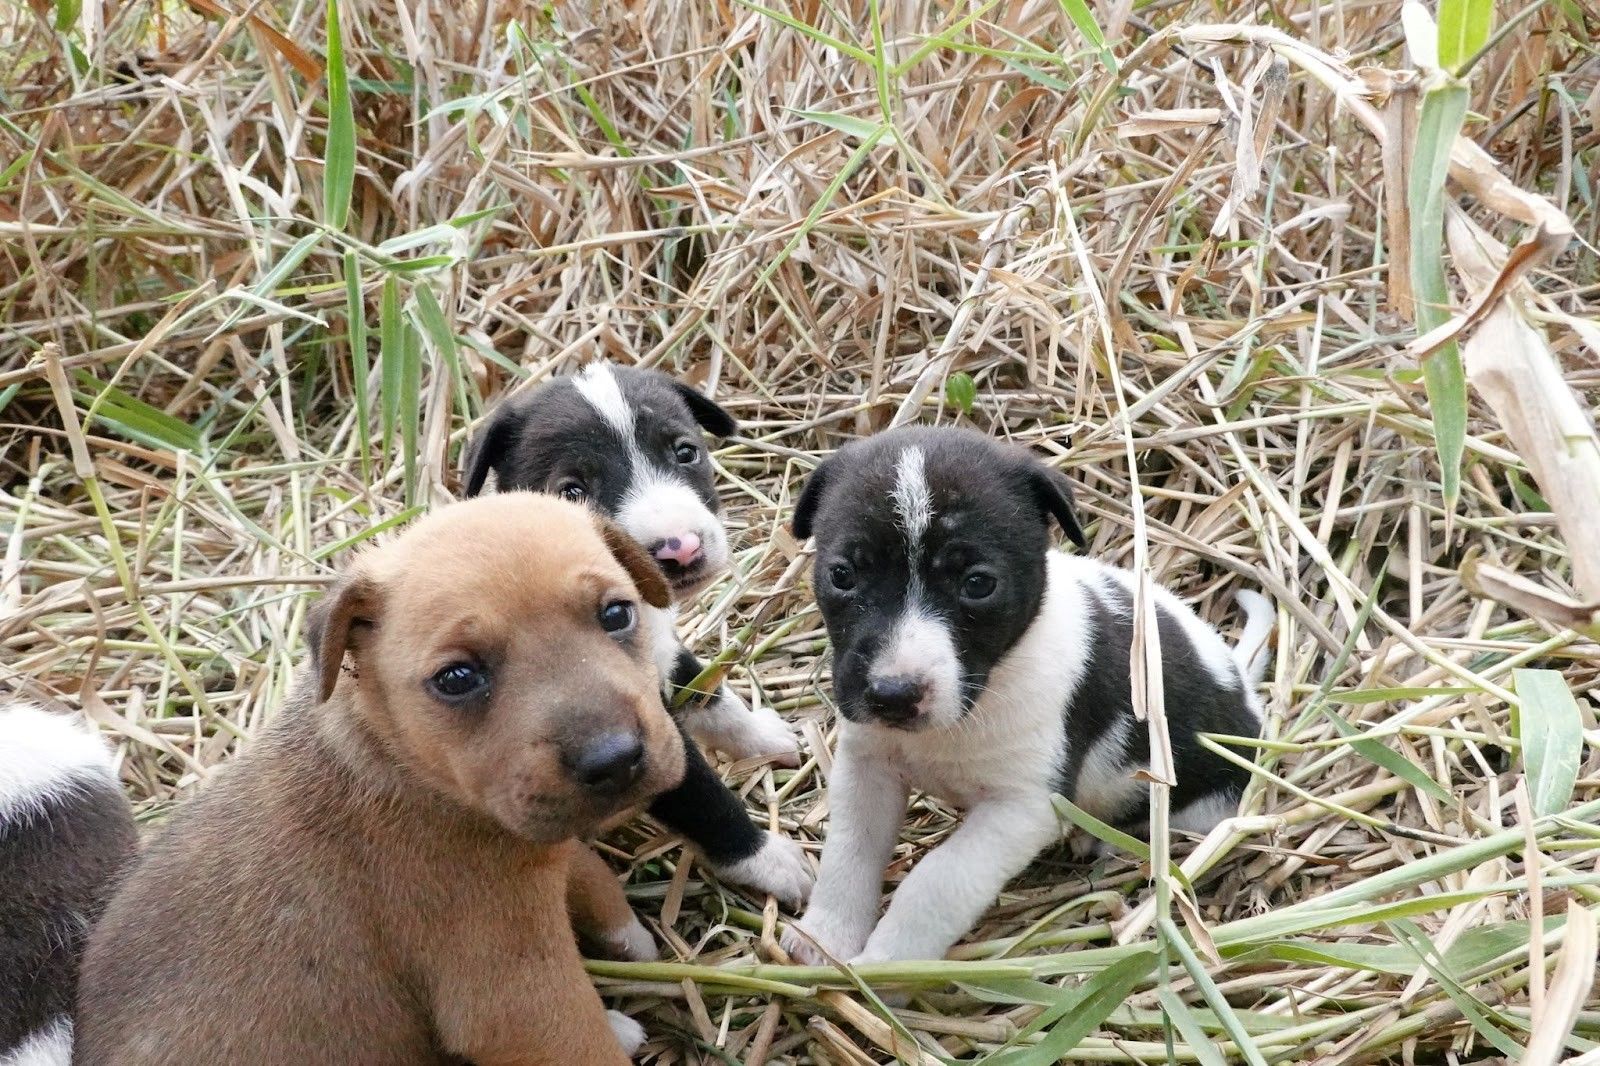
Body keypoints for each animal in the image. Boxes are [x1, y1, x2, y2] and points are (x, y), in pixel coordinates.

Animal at [78, 496, 688, 1062]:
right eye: (457, 677)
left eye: (617, 614)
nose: (615, 759)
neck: (397, 765)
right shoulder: (519, 995)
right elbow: (584, 1043)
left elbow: (589, 873)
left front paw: (630, 937)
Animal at [464, 363, 812, 902]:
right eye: (573, 490)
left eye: (684, 452)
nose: (681, 549)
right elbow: (700, 795)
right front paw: (769, 860)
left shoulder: (663, 653)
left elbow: (709, 691)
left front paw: (762, 737)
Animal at [780, 425, 1267, 960]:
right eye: (842, 575)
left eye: (978, 583)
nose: (893, 694)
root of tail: (1243, 685)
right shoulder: (867, 766)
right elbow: (849, 852)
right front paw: (824, 938)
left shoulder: (1023, 806)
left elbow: (937, 882)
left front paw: (887, 964)